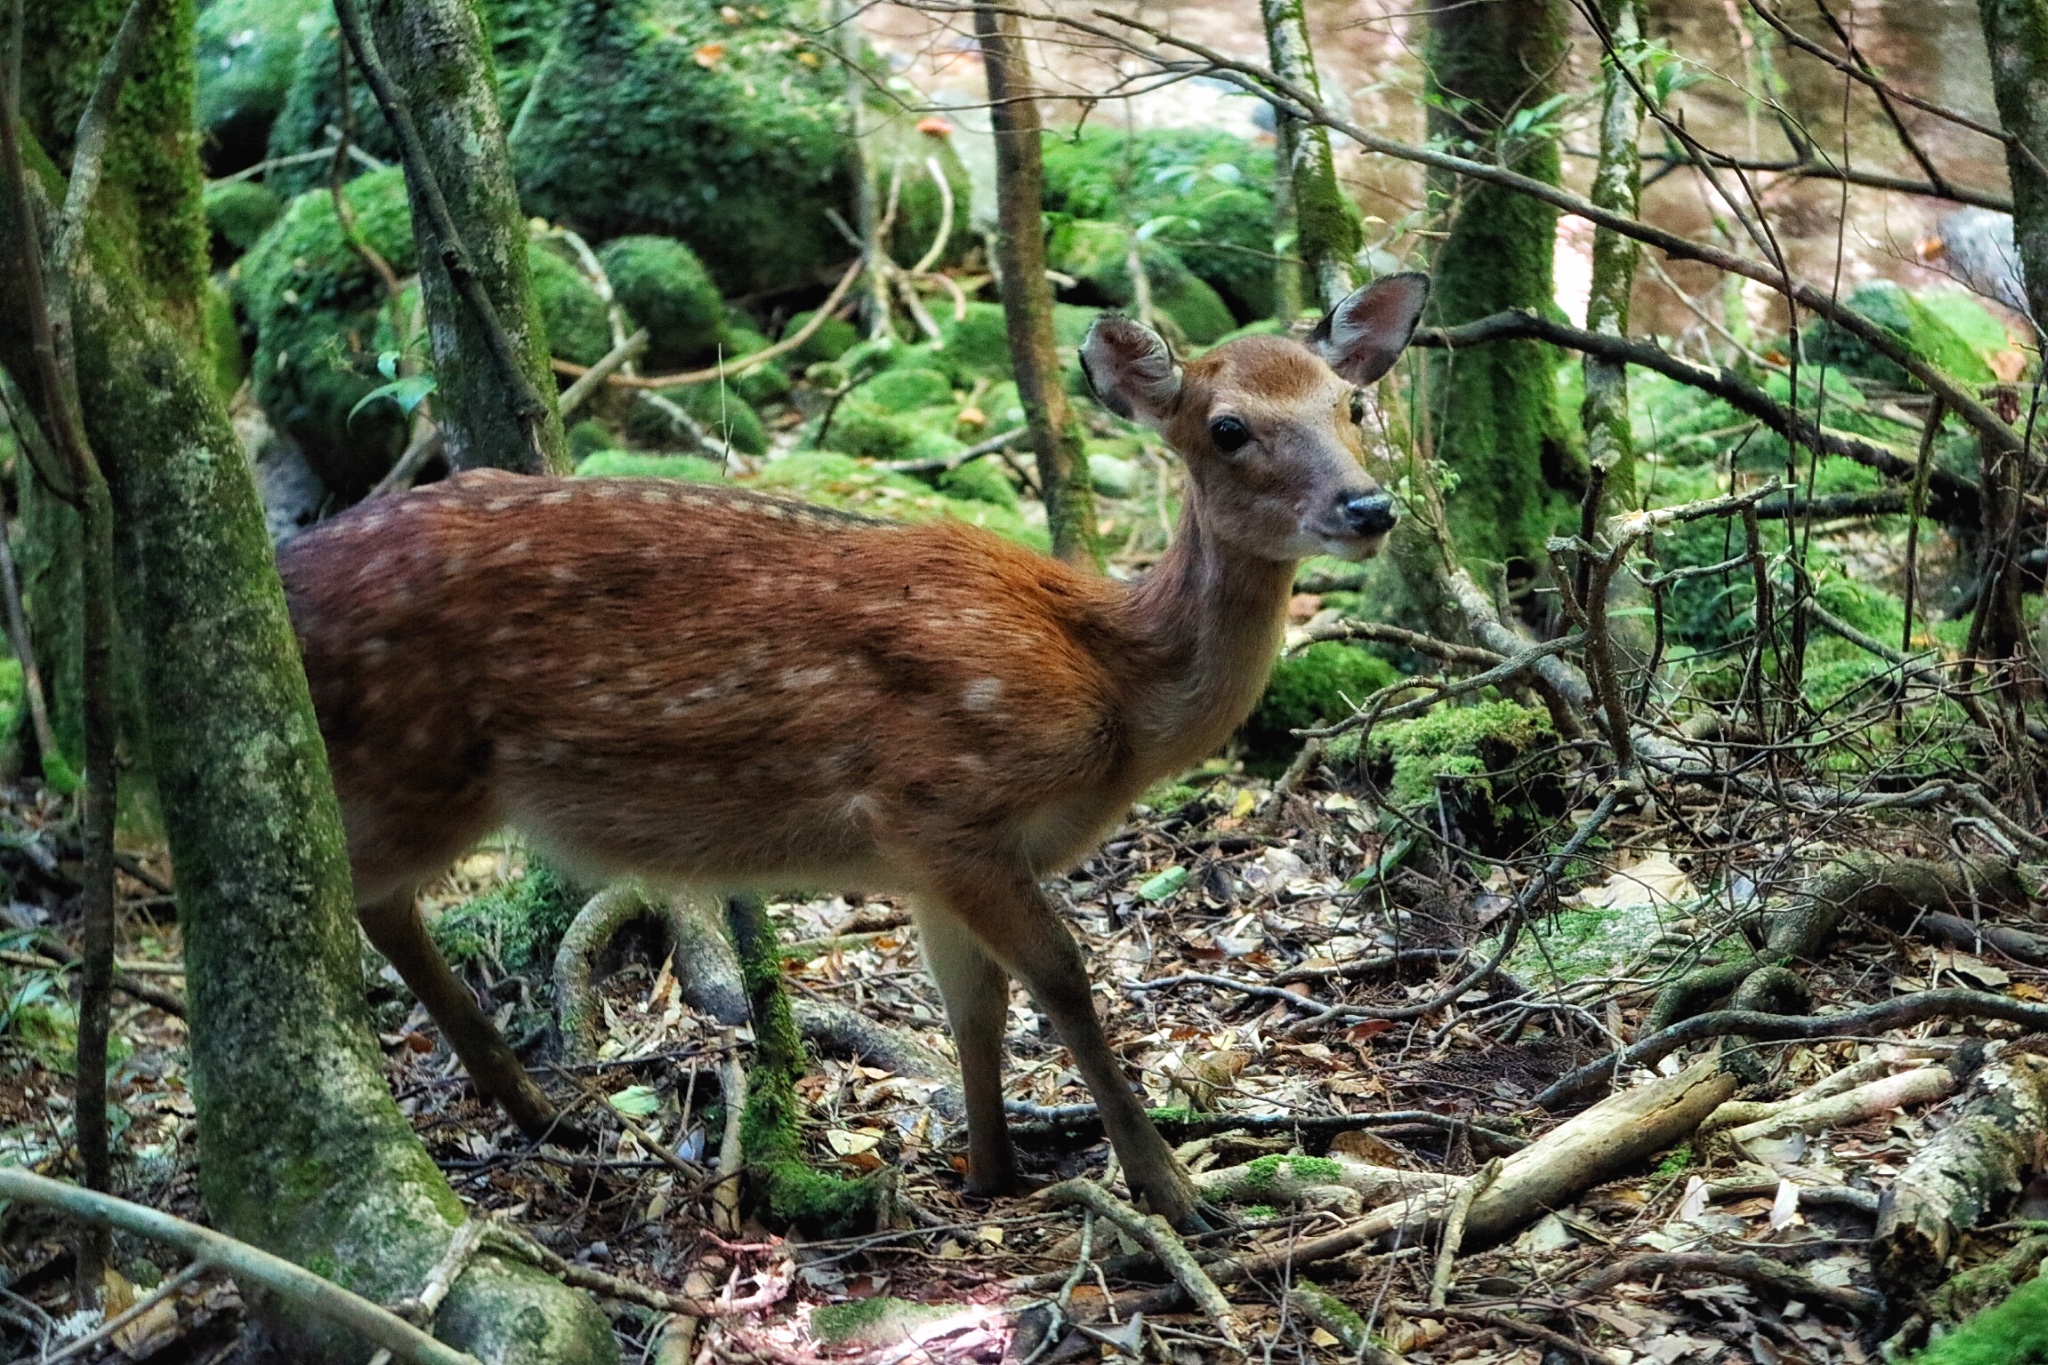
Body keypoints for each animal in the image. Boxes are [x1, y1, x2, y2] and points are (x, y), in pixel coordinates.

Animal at [280, 270, 1425, 1227]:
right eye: (1227, 428)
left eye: (1352, 406)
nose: (1370, 505)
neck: (1112, 689)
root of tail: (283, 577)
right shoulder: (938, 799)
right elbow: (1062, 977)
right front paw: (1173, 1190)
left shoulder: (935, 858)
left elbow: (974, 1005)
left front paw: (990, 1171)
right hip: (409, 761)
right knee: (338, 889)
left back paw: (539, 1108)